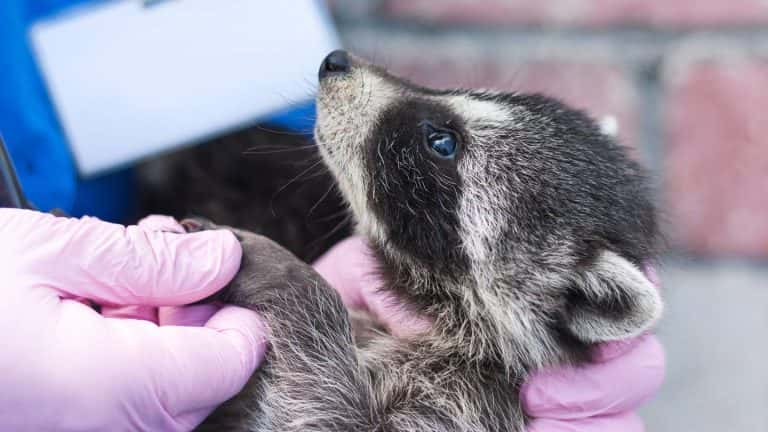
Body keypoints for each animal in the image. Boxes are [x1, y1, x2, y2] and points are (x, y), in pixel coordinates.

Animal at [195, 51, 664, 432]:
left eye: (442, 142)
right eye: (457, 91)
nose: (336, 60)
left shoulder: (474, 397)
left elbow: (331, 413)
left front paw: (289, 279)